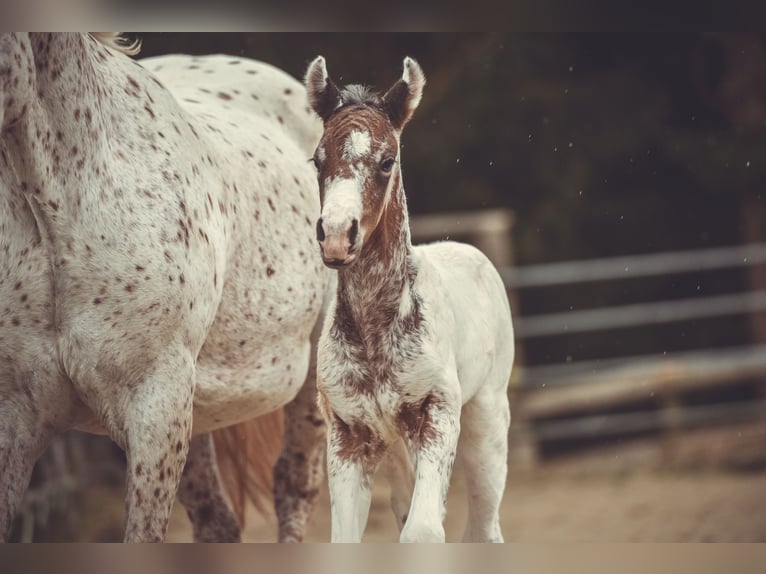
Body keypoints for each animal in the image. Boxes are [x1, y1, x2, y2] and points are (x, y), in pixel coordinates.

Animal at [305, 56, 515, 543]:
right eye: (317, 159)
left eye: (387, 161)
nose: (337, 235)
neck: (377, 328)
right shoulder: (349, 433)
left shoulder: (437, 413)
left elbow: (423, 532)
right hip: (397, 448)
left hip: (486, 421)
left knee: (485, 524)